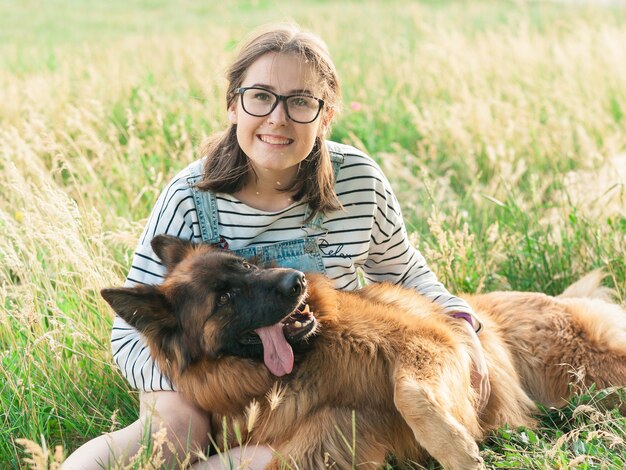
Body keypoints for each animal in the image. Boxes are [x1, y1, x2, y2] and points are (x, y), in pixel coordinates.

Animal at [102, 235, 624, 470]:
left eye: (247, 265)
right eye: (225, 297)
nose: (296, 282)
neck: (315, 356)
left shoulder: (427, 346)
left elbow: (409, 395)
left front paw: (459, 452)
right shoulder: (329, 433)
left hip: (592, 374)